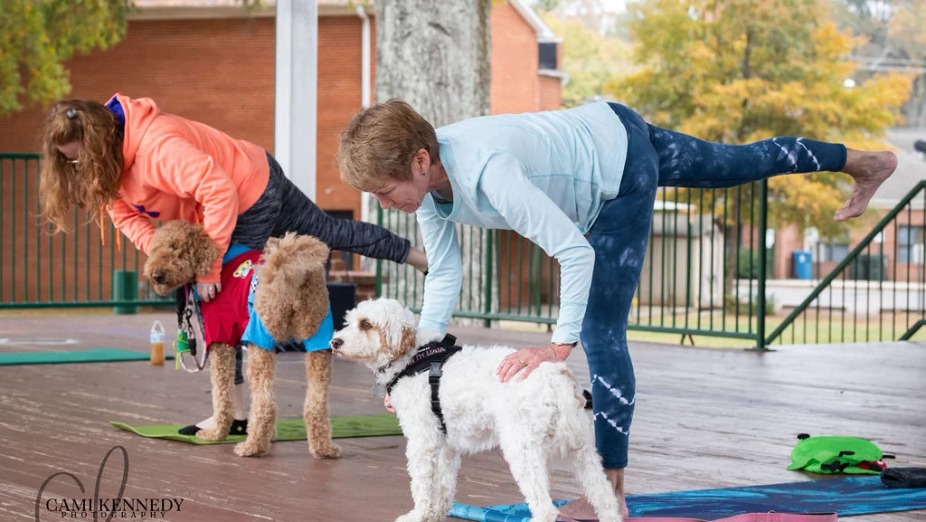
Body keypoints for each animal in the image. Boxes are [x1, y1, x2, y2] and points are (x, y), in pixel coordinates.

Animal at [141, 219, 338, 456]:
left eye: (176, 249)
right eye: (154, 250)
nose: (156, 275)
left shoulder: (221, 340)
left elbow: (222, 395)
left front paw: (216, 433)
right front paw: (270, 436)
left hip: (260, 339)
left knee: (265, 404)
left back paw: (251, 446)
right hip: (318, 342)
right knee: (316, 404)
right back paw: (323, 448)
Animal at [328, 296, 624, 520]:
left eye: (366, 324)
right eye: (349, 321)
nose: (334, 342)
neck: (414, 359)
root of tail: (558, 378)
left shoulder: (423, 440)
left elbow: (422, 483)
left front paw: (418, 514)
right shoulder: (446, 444)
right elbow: (444, 484)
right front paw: (436, 513)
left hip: (523, 450)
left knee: (545, 508)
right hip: (582, 451)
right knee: (606, 500)